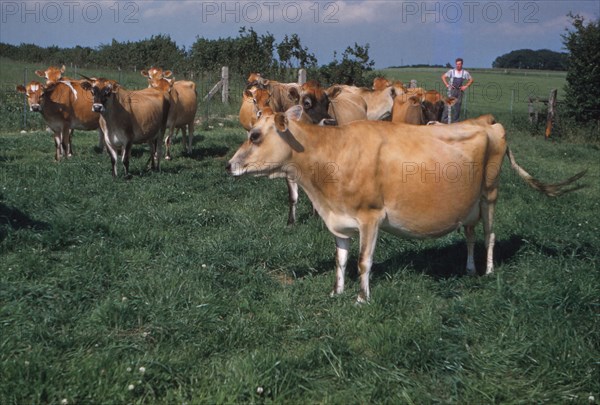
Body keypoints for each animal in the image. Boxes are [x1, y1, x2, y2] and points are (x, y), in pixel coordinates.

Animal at [226, 105, 584, 302]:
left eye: (255, 136)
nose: (228, 165)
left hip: (490, 194)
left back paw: (488, 271)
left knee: (490, 235)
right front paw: (336, 292)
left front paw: (361, 299)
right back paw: (469, 269)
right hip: (468, 204)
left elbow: (363, 262)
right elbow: (341, 261)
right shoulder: (338, 220)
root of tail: (487, 121)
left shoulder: (370, 217)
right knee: (470, 235)